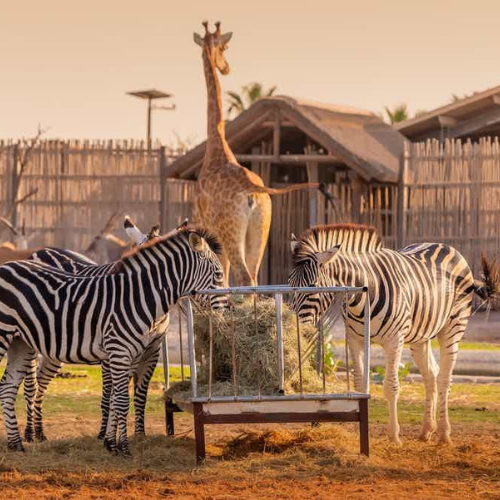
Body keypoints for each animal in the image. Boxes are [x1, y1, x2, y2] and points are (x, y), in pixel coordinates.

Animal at [0, 227, 225, 454]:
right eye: (218, 274)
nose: (229, 308)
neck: (138, 298)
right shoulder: (118, 351)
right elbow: (121, 400)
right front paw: (123, 447)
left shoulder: (137, 354)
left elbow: (118, 398)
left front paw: (112, 443)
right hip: (7, 335)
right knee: (27, 385)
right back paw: (28, 436)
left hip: (22, 342)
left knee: (9, 387)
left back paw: (16, 444)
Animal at [192, 21, 328, 288]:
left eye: (225, 47)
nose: (226, 67)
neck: (217, 145)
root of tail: (254, 191)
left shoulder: (207, 226)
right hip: (260, 229)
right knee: (253, 278)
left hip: (232, 232)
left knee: (243, 277)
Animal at [288, 225, 498, 444]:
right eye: (288, 281)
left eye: (312, 286)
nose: (292, 325)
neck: (363, 293)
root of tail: (444, 245)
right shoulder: (354, 340)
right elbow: (359, 384)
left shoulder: (394, 340)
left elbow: (390, 386)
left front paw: (394, 436)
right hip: (420, 336)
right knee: (431, 374)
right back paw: (426, 430)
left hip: (453, 327)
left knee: (444, 378)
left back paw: (444, 434)